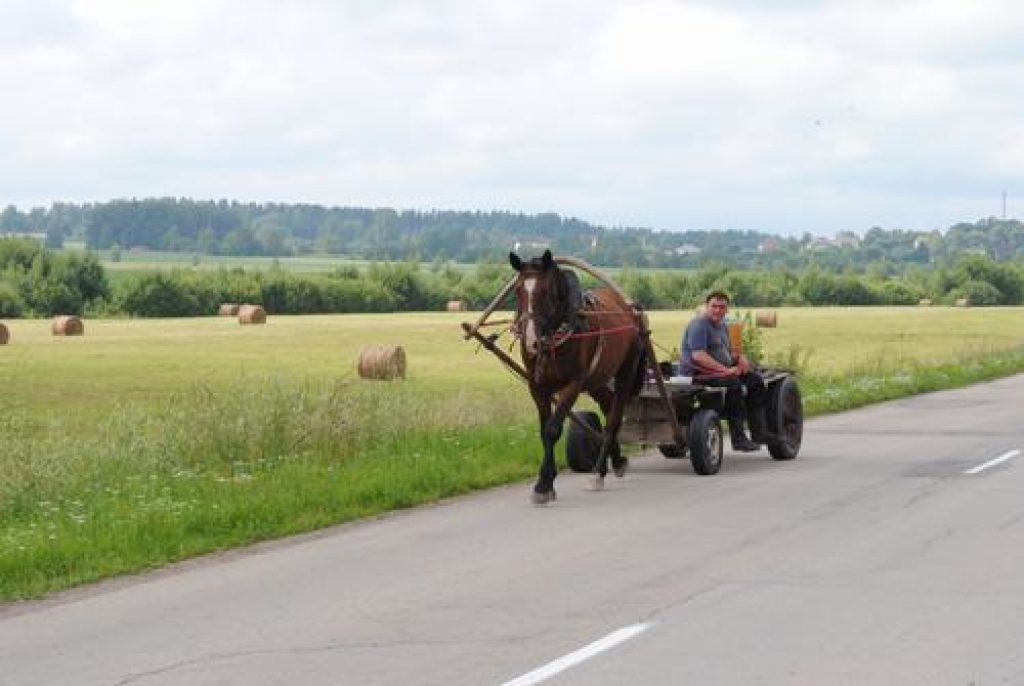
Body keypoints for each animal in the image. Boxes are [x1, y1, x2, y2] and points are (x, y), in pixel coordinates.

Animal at [512, 249, 647, 501]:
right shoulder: (537, 387)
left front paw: (544, 484)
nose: (530, 341)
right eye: (517, 290)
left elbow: (552, 430)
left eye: (545, 291)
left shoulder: (573, 384)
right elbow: (543, 431)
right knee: (608, 405)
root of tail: (630, 310)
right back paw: (615, 460)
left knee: (613, 419)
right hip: (598, 380)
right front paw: (546, 482)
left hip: (625, 370)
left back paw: (598, 473)